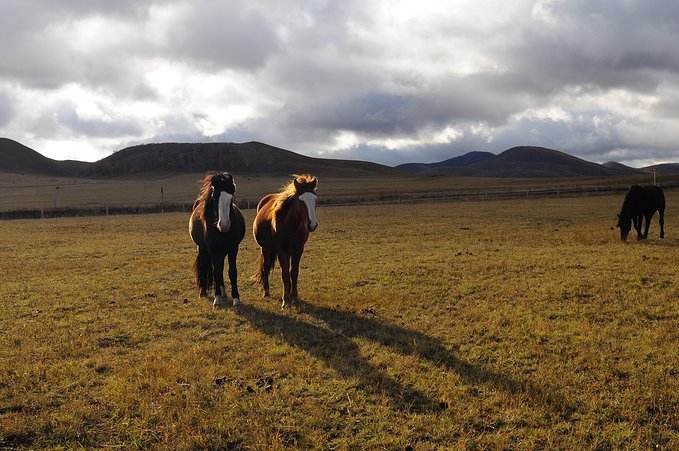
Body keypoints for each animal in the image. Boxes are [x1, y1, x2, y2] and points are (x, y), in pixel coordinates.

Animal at [189, 172, 247, 308]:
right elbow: (215, 271)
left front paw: (236, 299)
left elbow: (232, 272)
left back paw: (223, 291)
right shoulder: (213, 250)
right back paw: (203, 291)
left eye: (231, 198)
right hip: (203, 249)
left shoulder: (233, 248)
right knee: (207, 266)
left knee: (220, 269)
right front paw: (217, 299)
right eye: (215, 197)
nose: (224, 225)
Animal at [254, 173, 320, 308]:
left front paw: (294, 297)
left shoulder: (298, 249)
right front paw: (285, 300)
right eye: (300, 201)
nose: (312, 224)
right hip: (266, 249)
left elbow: (293, 272)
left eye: (315, 200)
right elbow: (284, 274)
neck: (290, 224)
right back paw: (266, 292)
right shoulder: (281, 251)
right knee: (266, 267)